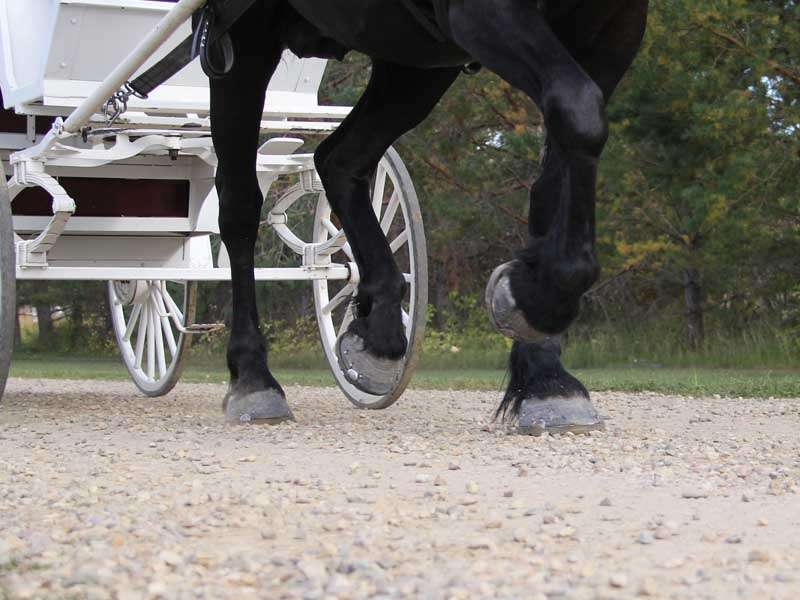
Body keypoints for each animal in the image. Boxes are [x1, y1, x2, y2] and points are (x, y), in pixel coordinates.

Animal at [212, 0, 648, 432]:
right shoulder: (481, 12)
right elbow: (577, 108)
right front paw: (538, 304)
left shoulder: (615, 26)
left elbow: (556, 168)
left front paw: (545, 373)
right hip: (245, 37)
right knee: (239, 208)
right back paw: (253, 377)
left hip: (413, 62)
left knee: (338, 160)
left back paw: (380, 326)